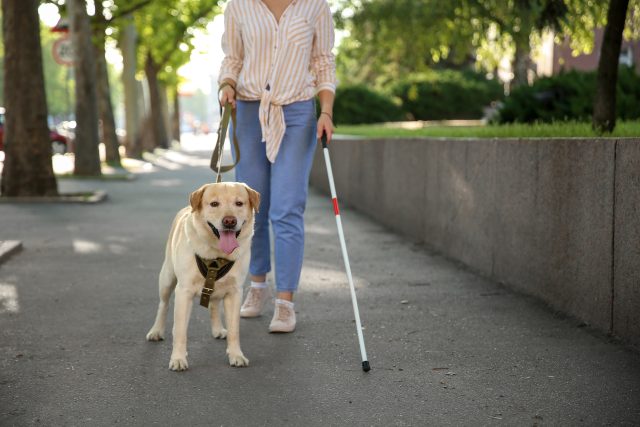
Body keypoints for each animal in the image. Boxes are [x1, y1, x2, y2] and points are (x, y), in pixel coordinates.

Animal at [147, 183, 260, 372]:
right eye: (214, 204)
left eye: (239, 203)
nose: (229, 221)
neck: (216, 255)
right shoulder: (184, 292)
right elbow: (180, 331)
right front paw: (178, 358)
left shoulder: (235, 292)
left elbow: (234, 330)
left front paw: (236, 355)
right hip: (167, 278)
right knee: (163, 305)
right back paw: (156, 331)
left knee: (214, 305)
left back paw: (218, 329)